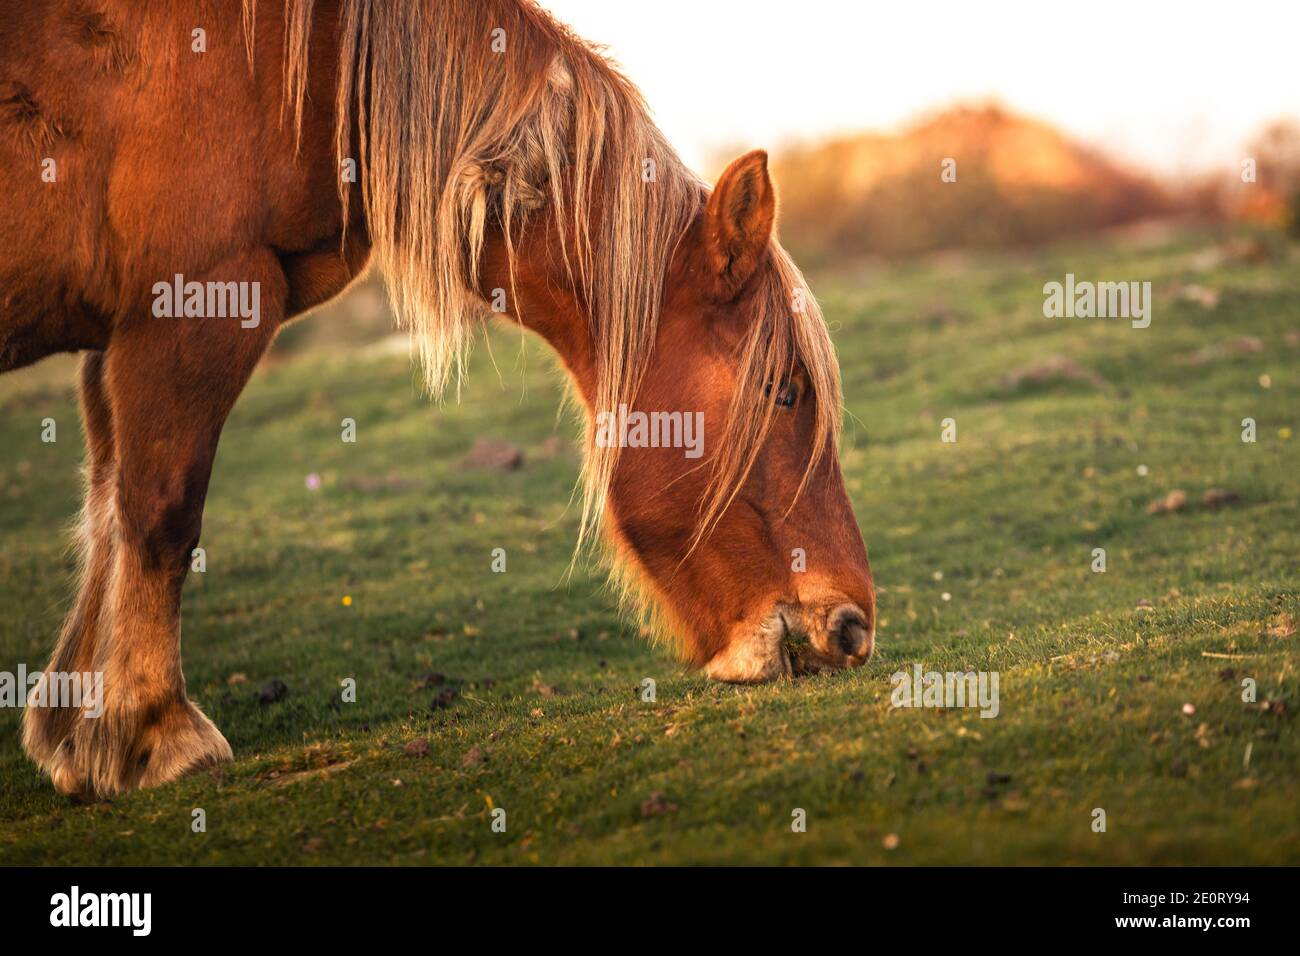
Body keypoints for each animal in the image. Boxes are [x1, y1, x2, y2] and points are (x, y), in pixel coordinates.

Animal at [0, 0, 875, 799]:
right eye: (785, 390)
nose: (854, 627)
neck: (301, 72)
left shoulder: (115, 338)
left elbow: (105, 510)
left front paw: (77, 734)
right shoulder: (193, 305)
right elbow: (160, 516)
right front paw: (158, 729)